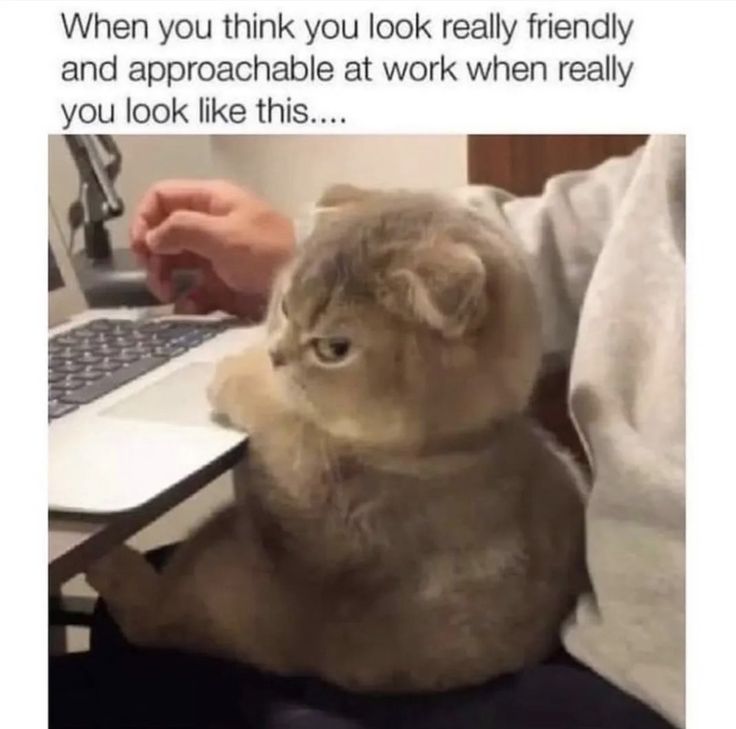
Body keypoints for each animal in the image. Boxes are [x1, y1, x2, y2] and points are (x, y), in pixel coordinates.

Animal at [86, 185, 588, 692]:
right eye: (285, 306)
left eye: (333, 348)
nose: (276, 354)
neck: (448, 447)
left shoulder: (310, 482)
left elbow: (278, 414)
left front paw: (239, 373)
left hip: (229, 599)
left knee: (151, 616)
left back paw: (111, 567)